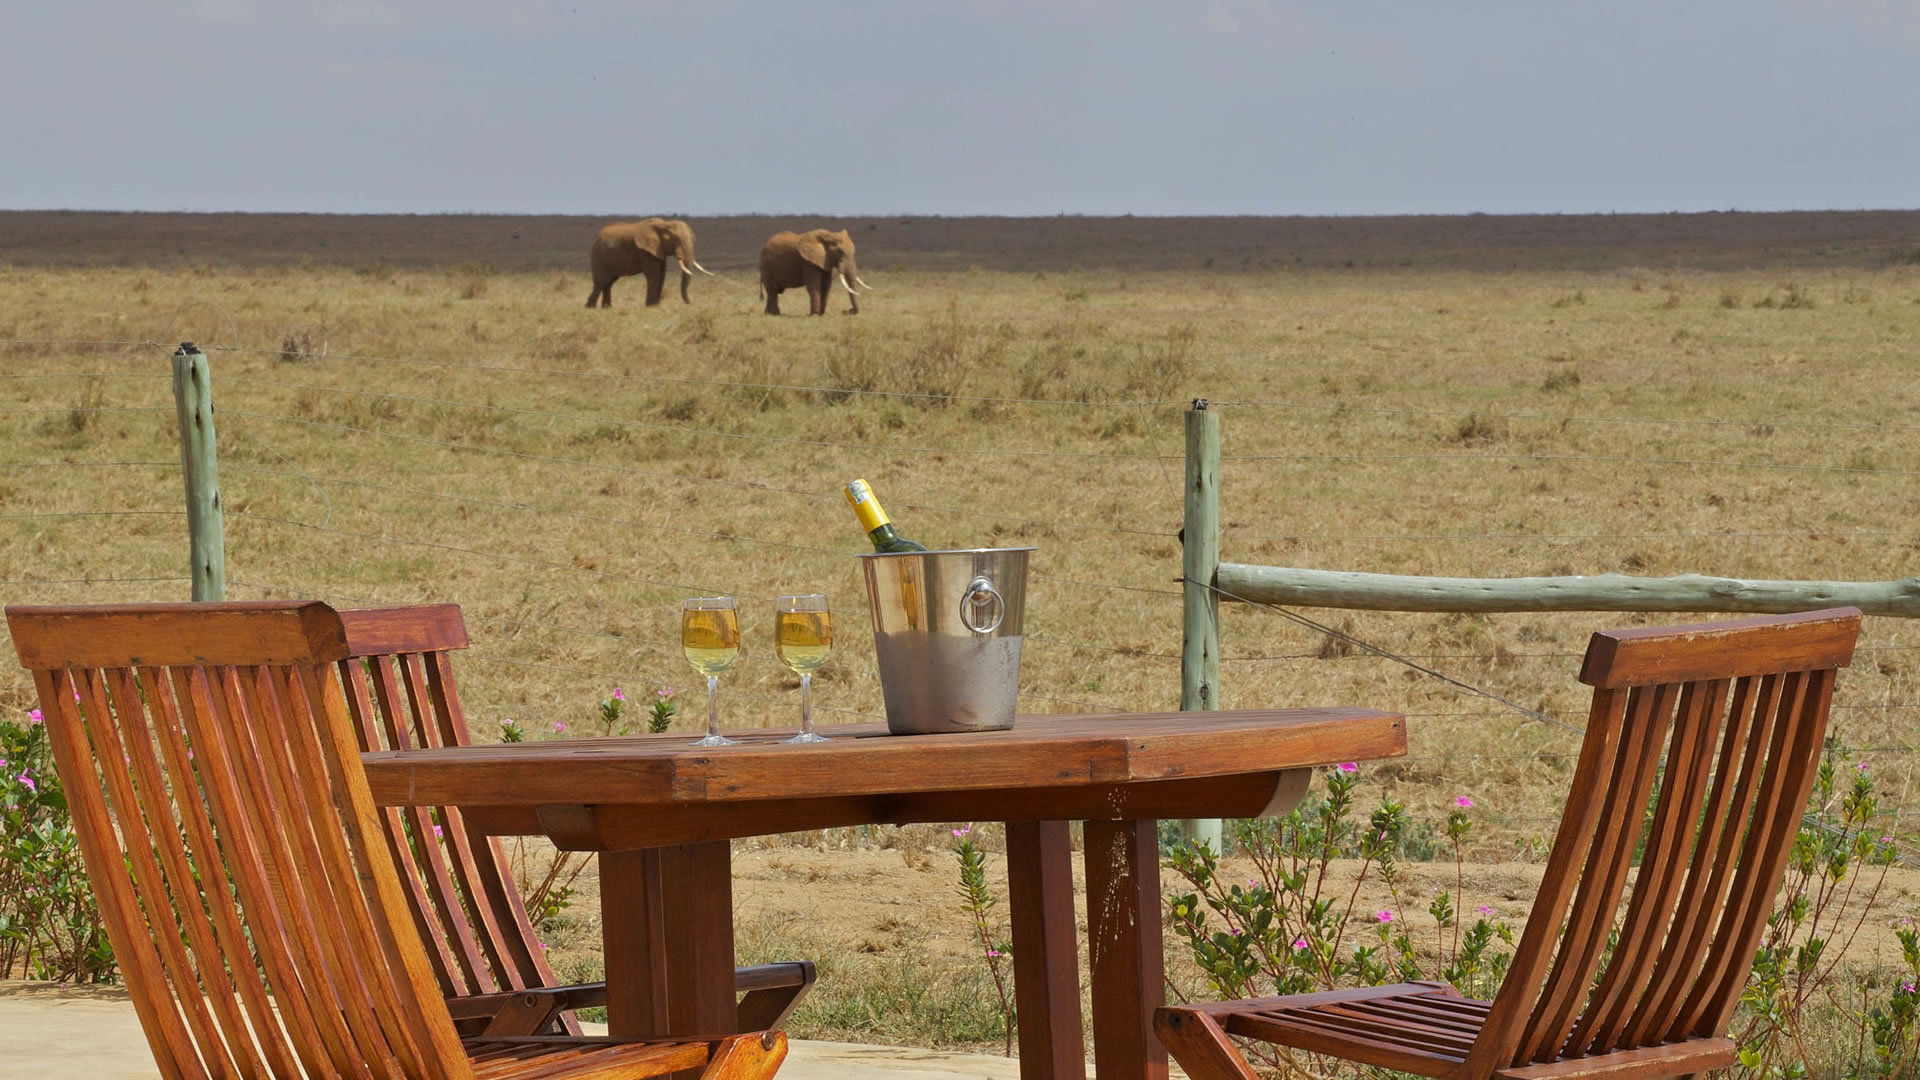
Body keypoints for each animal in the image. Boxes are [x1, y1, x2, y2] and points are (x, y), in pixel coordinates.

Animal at [585, 217, 713, 308]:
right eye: (674, 240)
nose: (691, 303)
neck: (664, 224)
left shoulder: (659, 250)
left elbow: (662, 274)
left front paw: (656, 306)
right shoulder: (645, 251)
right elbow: (654, 274)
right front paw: (651, 307)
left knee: (609, 282)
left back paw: (606, 308)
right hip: (599, 255)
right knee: (601, 281)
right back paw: (590, 307)